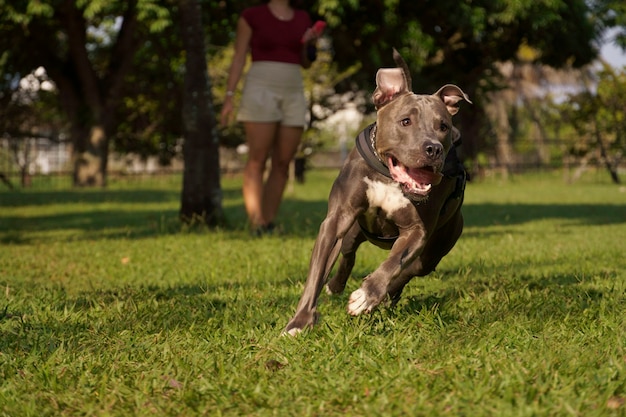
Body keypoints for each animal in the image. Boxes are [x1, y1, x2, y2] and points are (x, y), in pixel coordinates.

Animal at [282, 50, 468, 334]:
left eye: (444, 126)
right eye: (405, 121)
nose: (434, 148)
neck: (387, 176)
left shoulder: (416, 231)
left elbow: (393, 263)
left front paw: (368, 295)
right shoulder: (336, 221)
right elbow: (315, 274)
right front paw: (300, 322)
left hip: (434, 250)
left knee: (408, 270)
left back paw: (382, 295)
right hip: (353, 232)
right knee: (347, 255)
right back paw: (336, 285)